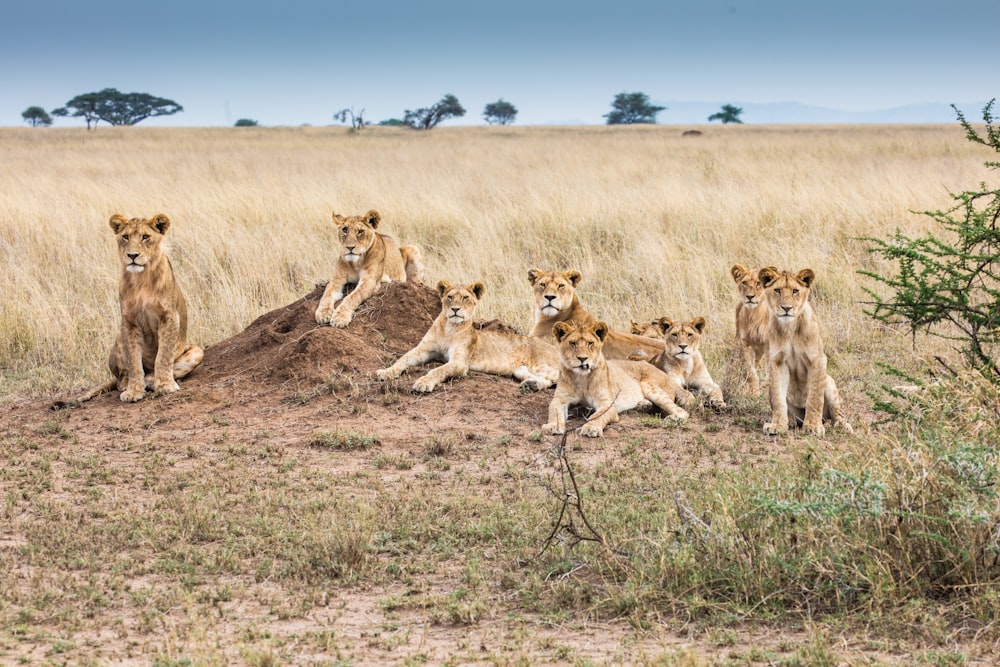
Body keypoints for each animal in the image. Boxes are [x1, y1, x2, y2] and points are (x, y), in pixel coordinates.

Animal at [61, 214, 203, 408]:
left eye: (145, 237)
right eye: (126, 237)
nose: (132, 255)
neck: (141, 279)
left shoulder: (169, 317)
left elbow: (163, 356)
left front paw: (165, 385)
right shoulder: (128, 321)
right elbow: (134, 361)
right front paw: (134, 392)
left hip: (196, 350)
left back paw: (153, 381)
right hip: (119, 336)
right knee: (121, 378)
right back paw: (134, 384)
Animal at [376, 280, 564, 394]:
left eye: (466, 298)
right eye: (450, 297)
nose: (455, 309)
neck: (449, 329)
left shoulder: (459, 362)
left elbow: (438, 370)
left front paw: (424, 383)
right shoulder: (423, 349)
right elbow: (403, 359)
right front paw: (386, 372)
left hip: (541, 364)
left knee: (558, 377)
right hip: (520, 370)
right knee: (548, 380)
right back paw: (532, 385)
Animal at [540, 322, 688, 438]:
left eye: (590, 343)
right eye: (573, 343)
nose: (582, 358)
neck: (580, 377)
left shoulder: (608, 404)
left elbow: (598, 415)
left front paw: (591, 428)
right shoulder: (560, 399)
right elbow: (554, 411)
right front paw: (552, 426)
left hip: (649, 385)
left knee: (681, 411)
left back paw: (672, 418)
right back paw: (643, 404)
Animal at [756, 266, 852, 438]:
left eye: (795, 291)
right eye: (777, 290)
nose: (787, 308)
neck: (790, 327)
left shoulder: (817, 360)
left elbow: (814, 398)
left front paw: (813, 427)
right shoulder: (776, 362)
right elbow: (778, 400)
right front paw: (777, 426)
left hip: (829, 383)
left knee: (836, 413)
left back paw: (842, 426)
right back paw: (789, 422)